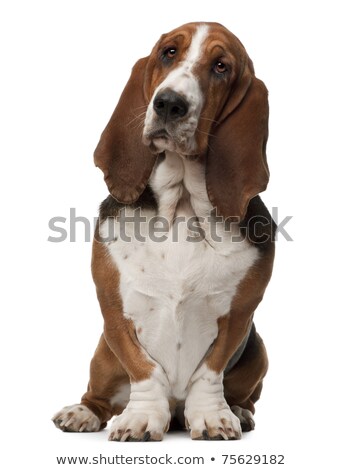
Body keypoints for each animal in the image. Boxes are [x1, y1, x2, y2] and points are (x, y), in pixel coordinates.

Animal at [52, 21, 276, 440]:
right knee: (100, 395)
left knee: (244, 395)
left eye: (221, 66)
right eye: (169, 52)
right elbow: (145, 369)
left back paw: (238, 410)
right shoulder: (114, 310)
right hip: (102, 356)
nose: (169, 103)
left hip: (257, 351)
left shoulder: (239, 314)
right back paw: (83, 412)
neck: (182, 206)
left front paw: (213, 418)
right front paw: (141, 418)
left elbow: (209, 372)